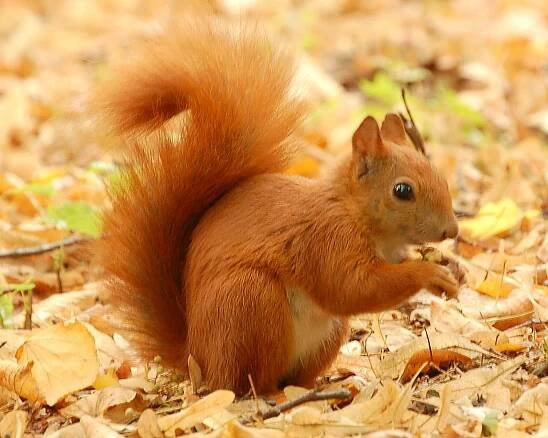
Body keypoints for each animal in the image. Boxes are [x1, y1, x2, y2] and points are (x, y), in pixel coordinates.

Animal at [94, 18, 458, 394]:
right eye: (402, 190)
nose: (452, 230)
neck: (353, 211)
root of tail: (198, 359)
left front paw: (451, 270)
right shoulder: (326, 241)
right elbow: (353, 288)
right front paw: (427, 273)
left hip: (323, 333)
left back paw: (319, 385)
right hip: (252, 304)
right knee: (248, 381)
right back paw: (273, 394)